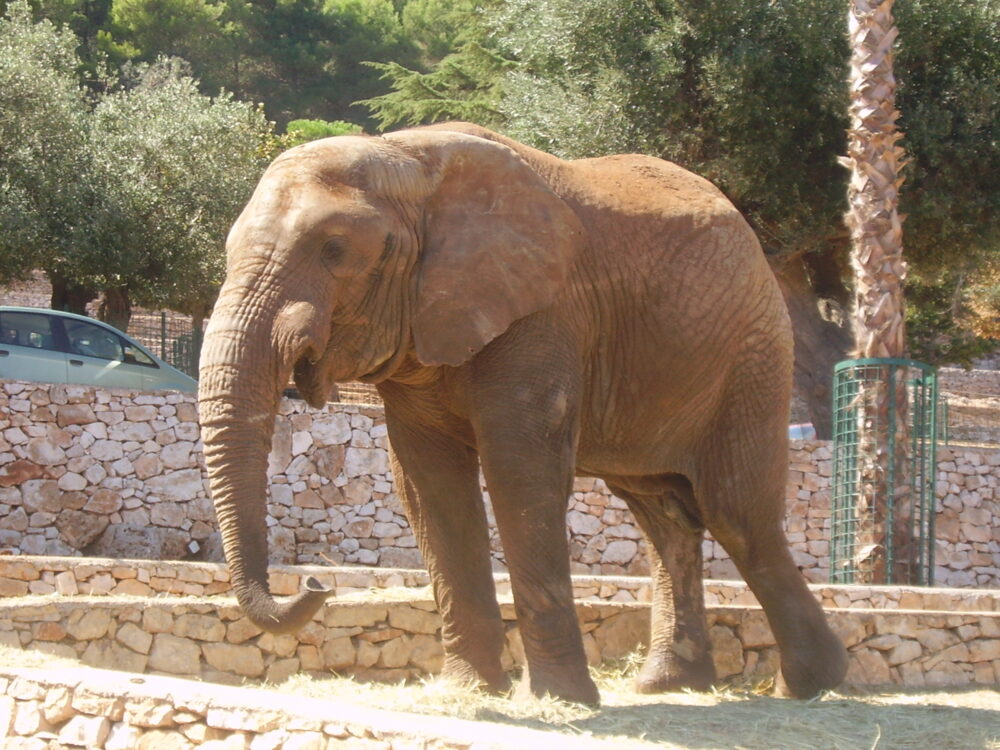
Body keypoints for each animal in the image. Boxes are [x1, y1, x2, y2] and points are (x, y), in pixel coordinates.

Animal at [198, 121, 848, 706]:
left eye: (333, 250)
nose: (315, 582)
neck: (406, 159)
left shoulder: (544, 314)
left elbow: (520, 475)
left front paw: (561, 700)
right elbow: (430, 486)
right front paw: (472, 691)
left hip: (753, 356)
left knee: (737, 514)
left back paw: (811, 687)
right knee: (665, 517)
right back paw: (671, 686)